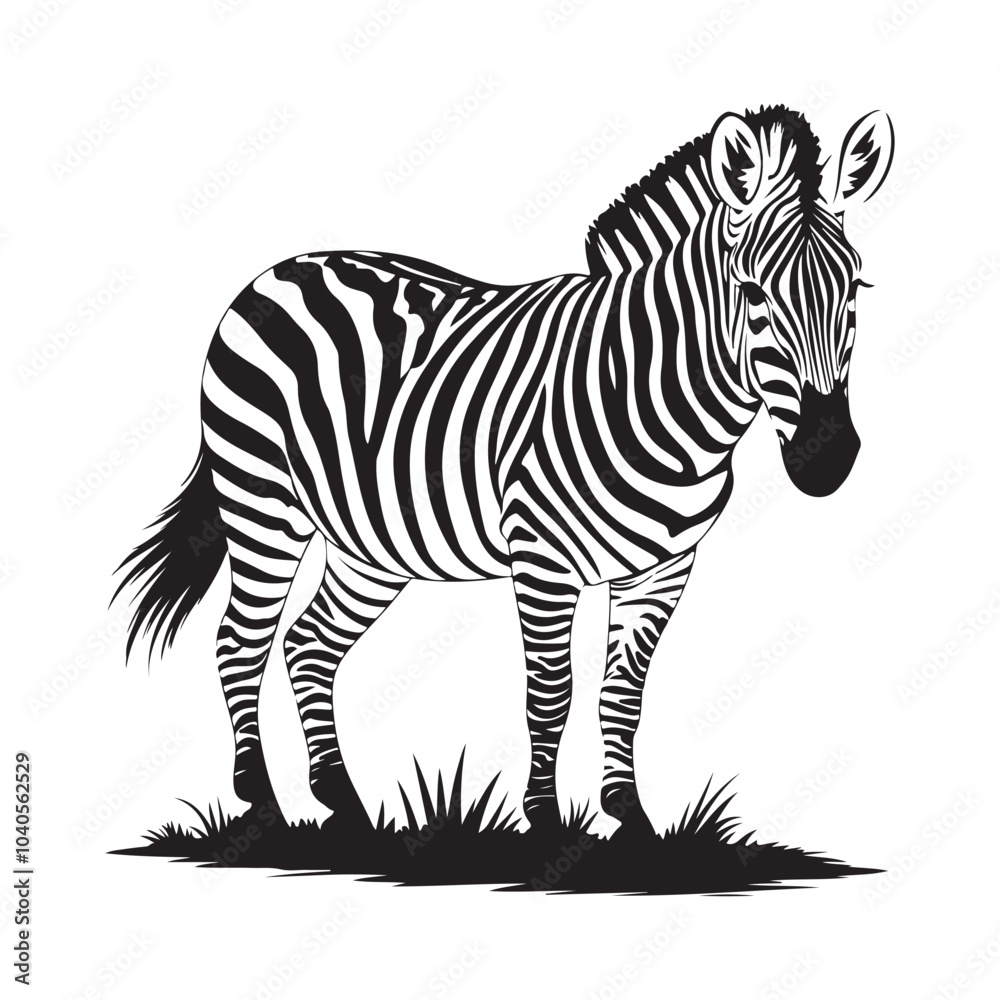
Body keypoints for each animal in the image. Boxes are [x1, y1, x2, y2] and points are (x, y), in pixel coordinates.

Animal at [115, 105, 894, 838]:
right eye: (754, 293)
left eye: (856, 289)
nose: (828, 456)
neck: (658, 398)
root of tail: (276, 272)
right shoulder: (542, 559)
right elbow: (552, 692)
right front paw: (547, 822)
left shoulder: (665, 571)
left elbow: (622, 692)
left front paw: (631, 816)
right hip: (262, 502)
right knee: (239, 641)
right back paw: (265, 801)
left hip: (369, 543)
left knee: (310, 643)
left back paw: (346, 802)